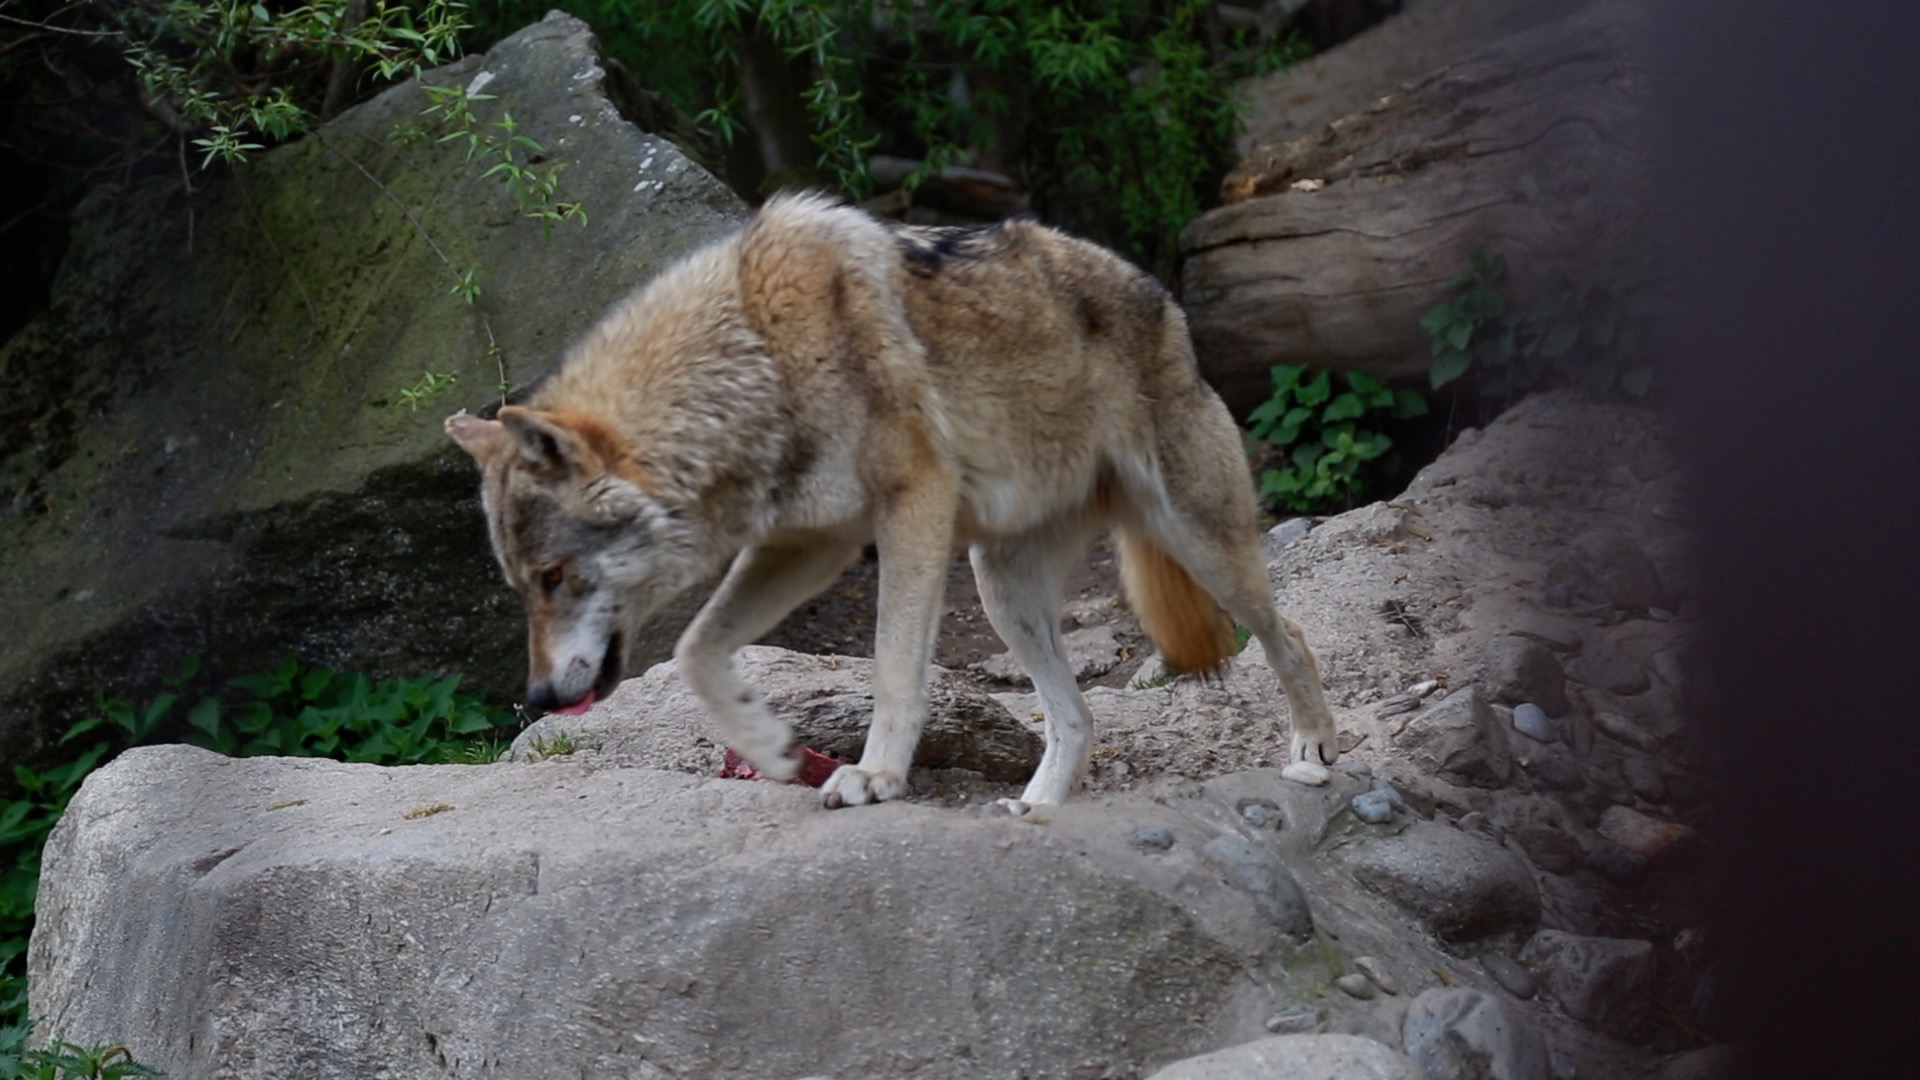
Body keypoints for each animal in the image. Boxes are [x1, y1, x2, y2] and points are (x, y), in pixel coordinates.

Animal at [449, 193, 1344, 803]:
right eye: (523, 586)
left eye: (555, 578)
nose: (537, 698)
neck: (755, 355)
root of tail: (1162, 299)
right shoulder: (809, 545)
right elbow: (698, 651)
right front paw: (773, 751)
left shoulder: (911, 506)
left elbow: (891, 666)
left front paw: (875, 775)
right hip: (1001, 588)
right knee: (1076, 717)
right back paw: (1033, 813)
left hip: (1191, 539)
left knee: (1290, 632)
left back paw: (1312, 750)